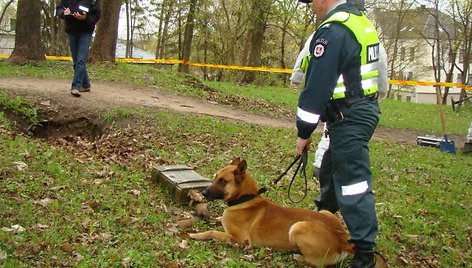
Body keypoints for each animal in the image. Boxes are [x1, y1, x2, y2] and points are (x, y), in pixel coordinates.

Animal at [188, 158, 388, 266]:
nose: (203, 193)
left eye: (223, 181)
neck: (246, 198)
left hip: (298, 227)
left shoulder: (242, 240)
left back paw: (297, 255)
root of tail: (342, 240)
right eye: (216, 177)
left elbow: (212, 232)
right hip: (326, 213)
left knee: (315, 262)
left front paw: (195, 235)